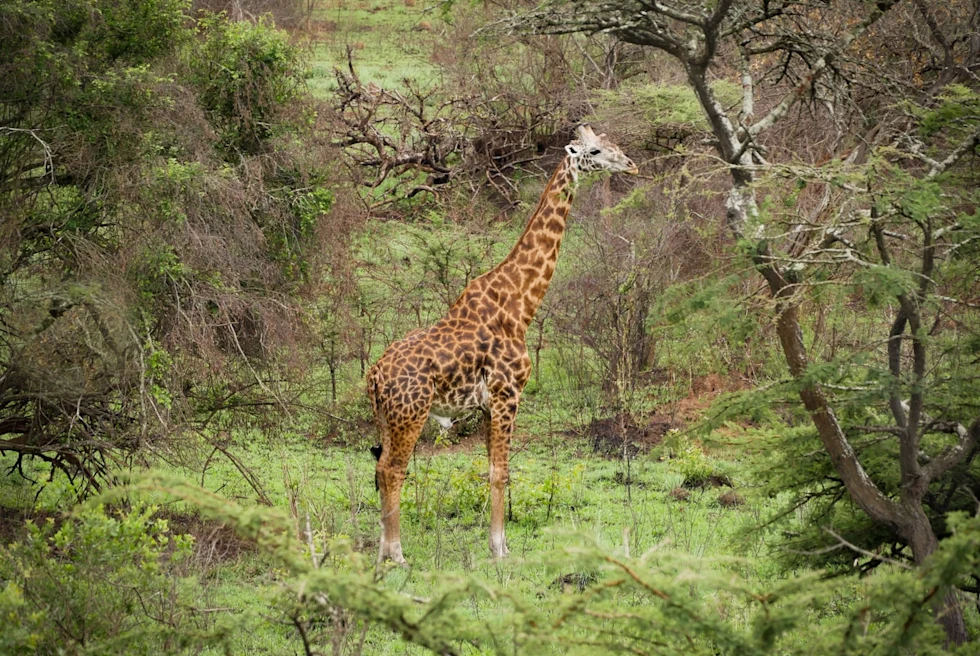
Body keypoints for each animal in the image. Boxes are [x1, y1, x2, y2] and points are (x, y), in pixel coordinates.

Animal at [367, 124, 637, 564]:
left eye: (614, 144)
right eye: (595, 151)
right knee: (394, 470)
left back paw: (380, 552)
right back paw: (398, 554)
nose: (630, 164)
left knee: (380, 467)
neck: (520, 302)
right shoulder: (507, 394)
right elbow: (501, 471)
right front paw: (500, 547)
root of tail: (373, 375)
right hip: (412, 414)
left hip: (387, 417)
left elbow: (491, 468)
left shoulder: (487, 405)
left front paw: (496, 543)